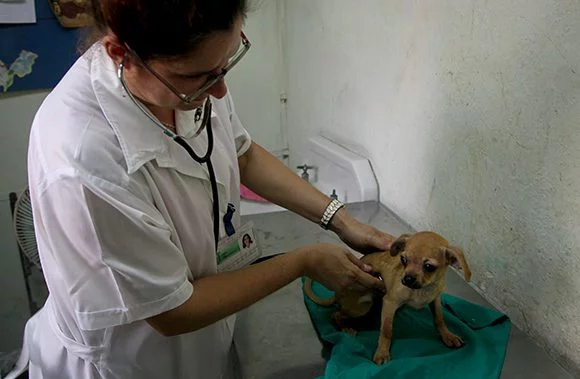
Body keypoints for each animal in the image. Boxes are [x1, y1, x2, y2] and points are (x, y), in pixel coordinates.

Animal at [304, 232, 472, 366]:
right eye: (403, 259)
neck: (422, 291)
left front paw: (448, 335)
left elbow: (439, 319)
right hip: (363, 307)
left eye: (429, 267)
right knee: (336, 314)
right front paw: (382, 352)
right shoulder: (390, 303)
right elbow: (386, 330)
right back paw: (345, 327)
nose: (407, 279)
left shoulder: (435, 300)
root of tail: (337, 293)